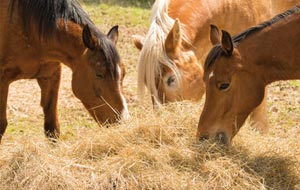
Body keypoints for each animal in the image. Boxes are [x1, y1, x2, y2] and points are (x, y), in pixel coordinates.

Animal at [0, 0, 127, 142]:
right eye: (99, 74)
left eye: (123, 74)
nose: (121, 119)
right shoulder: (2, 80)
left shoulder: (51, 75)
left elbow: (52, 128)